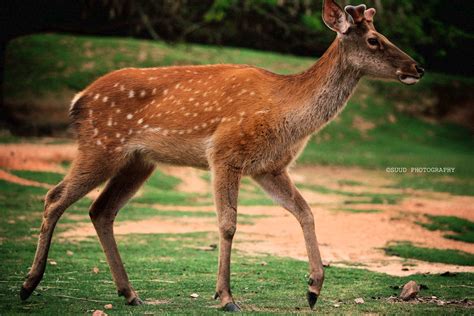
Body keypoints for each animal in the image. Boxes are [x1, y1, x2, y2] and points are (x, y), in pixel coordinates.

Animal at [20, 0, 424, 312]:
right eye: (374, 40)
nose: (417, 67)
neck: (287, 113)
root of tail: (77, 101)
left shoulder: (269, 168)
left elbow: (305, 211)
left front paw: (313, 289)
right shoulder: (225, 153)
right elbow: (228, 224)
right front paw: (227, 297)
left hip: (138, 161)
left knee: (101, 209)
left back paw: (130, 293)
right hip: (101, 144)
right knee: (54, 197)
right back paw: (28, 284)